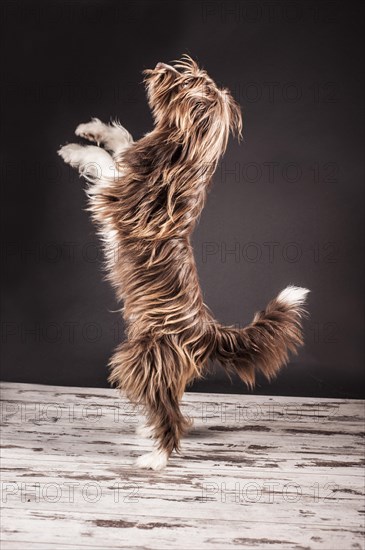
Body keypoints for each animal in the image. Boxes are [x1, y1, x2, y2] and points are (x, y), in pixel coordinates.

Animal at [58, 55, 308, 470]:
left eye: (186, 81)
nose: (161, 66)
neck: (182, 154)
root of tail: (207, 330)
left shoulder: (117, 194)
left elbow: (106, 163)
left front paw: (77, 150)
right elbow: (122, 139)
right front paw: (90, 130)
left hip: (143, 358)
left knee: (171, 415)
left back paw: (156, 456)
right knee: (172, 405)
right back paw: (148, 433)